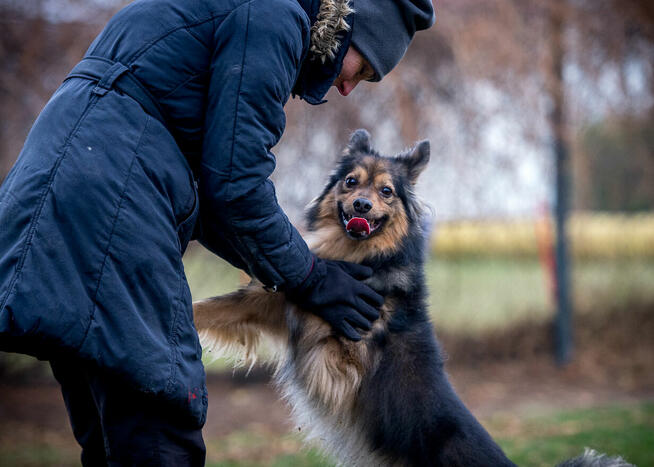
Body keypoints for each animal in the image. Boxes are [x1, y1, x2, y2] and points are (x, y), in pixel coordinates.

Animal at [195, 129, 636, 467]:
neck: (358, 256)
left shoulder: (342, 350)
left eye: (386, 191)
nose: (361, 204)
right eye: (350, 182)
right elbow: (218, 306)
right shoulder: (282, 302)